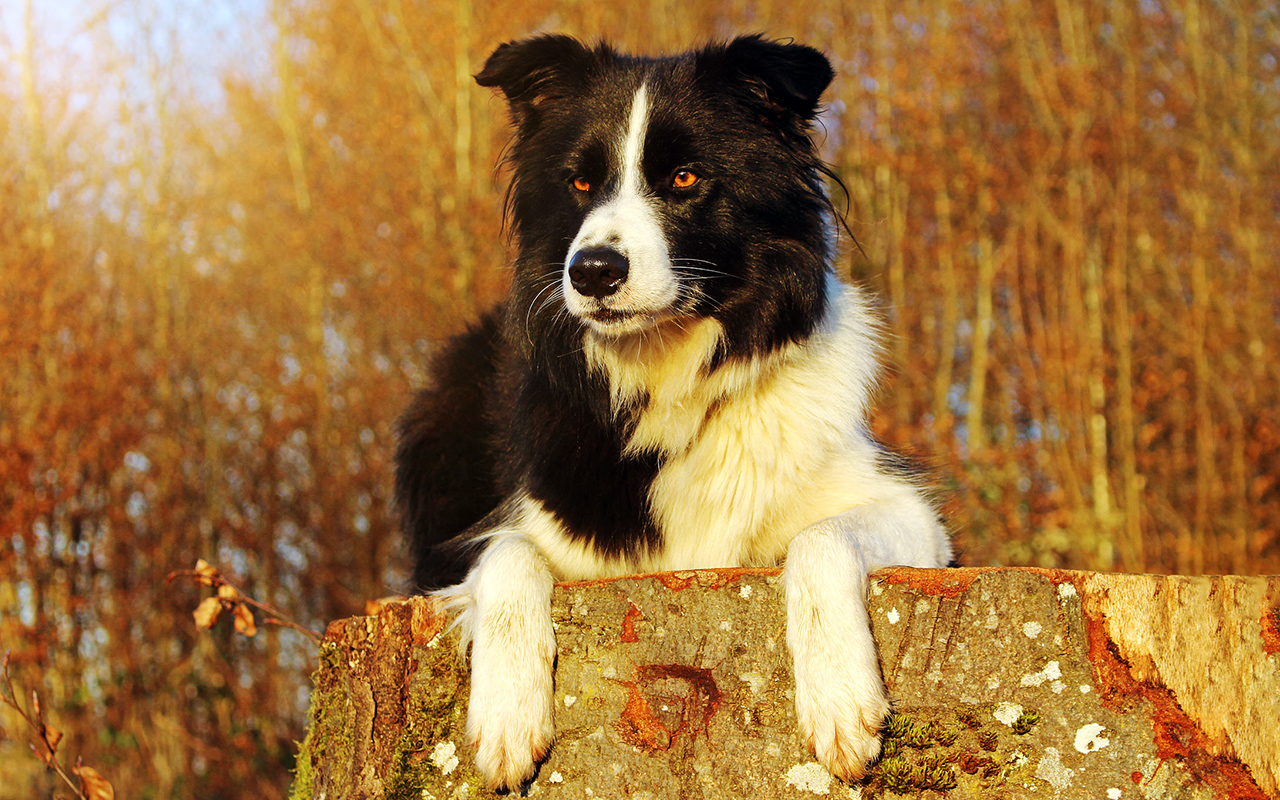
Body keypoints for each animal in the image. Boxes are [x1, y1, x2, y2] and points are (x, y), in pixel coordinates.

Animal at [394, 34, 957, 788]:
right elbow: (509, 555)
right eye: (579, 184)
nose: (592, 271)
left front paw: (841, 700)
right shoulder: (510, 533)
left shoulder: (914, 519)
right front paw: (507, 716)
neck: (669, 372)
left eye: (686, 179)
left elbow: (820, 537)